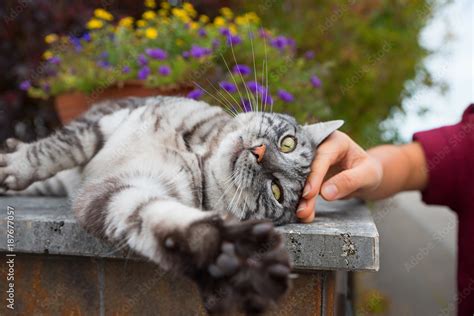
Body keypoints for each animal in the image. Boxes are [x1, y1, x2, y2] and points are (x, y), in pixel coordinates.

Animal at [0, 96, 342, 314]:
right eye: (288, 143)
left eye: (276, 190)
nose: (259, 153)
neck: (196, 153)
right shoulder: (105, 124)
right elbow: (57, 149)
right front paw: (16, 165)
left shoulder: (124, 190)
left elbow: (161, 217)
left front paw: (227, 254)